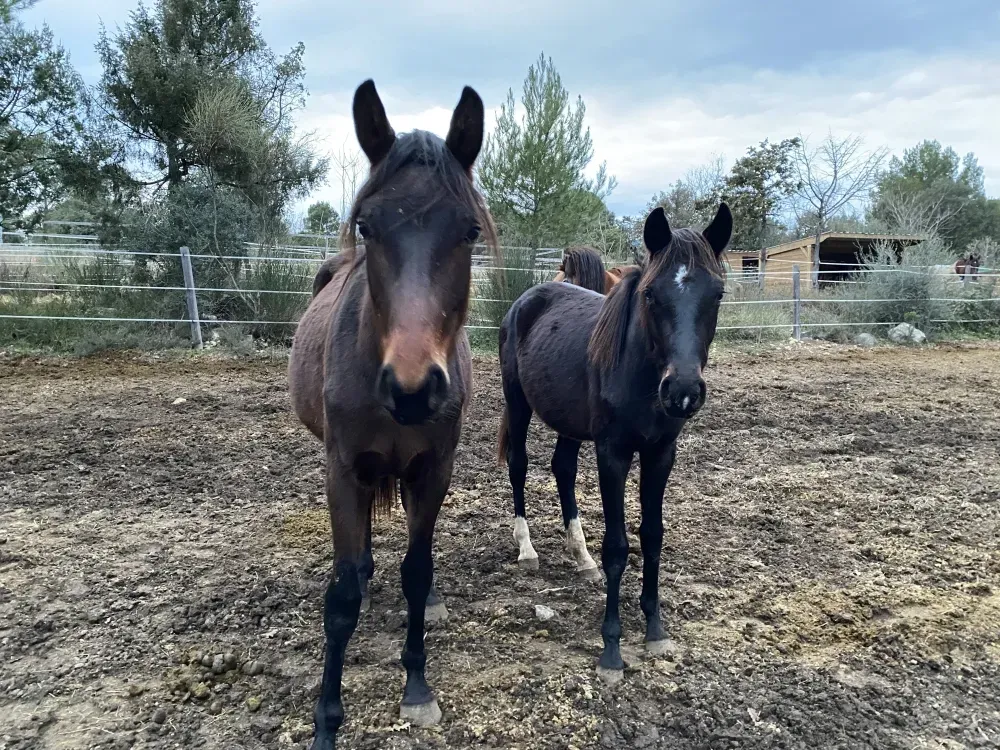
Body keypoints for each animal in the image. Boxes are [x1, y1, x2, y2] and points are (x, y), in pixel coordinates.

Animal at [288, 79, 495, 749]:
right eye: (366, 225)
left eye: (469, 231)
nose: (412, 388)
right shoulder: (343, 469)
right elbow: (342, 598)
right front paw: (327, 720)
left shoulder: (433, 470)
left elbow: (418, 571)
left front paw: (418, 687)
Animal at [496, 202, 732, 684]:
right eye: (650, 295)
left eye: (717, 294)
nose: (683, 391)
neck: (640, 373)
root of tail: (526, 300)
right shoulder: (613, 455)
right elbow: (619, 547)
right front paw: (611, 649)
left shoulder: (661, 453)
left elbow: (653, 536)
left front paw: (656, 630)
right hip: (518, 403)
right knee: (519, 464)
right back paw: (526, 547)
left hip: (568, 422)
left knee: (562, 468)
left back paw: (579, 554)